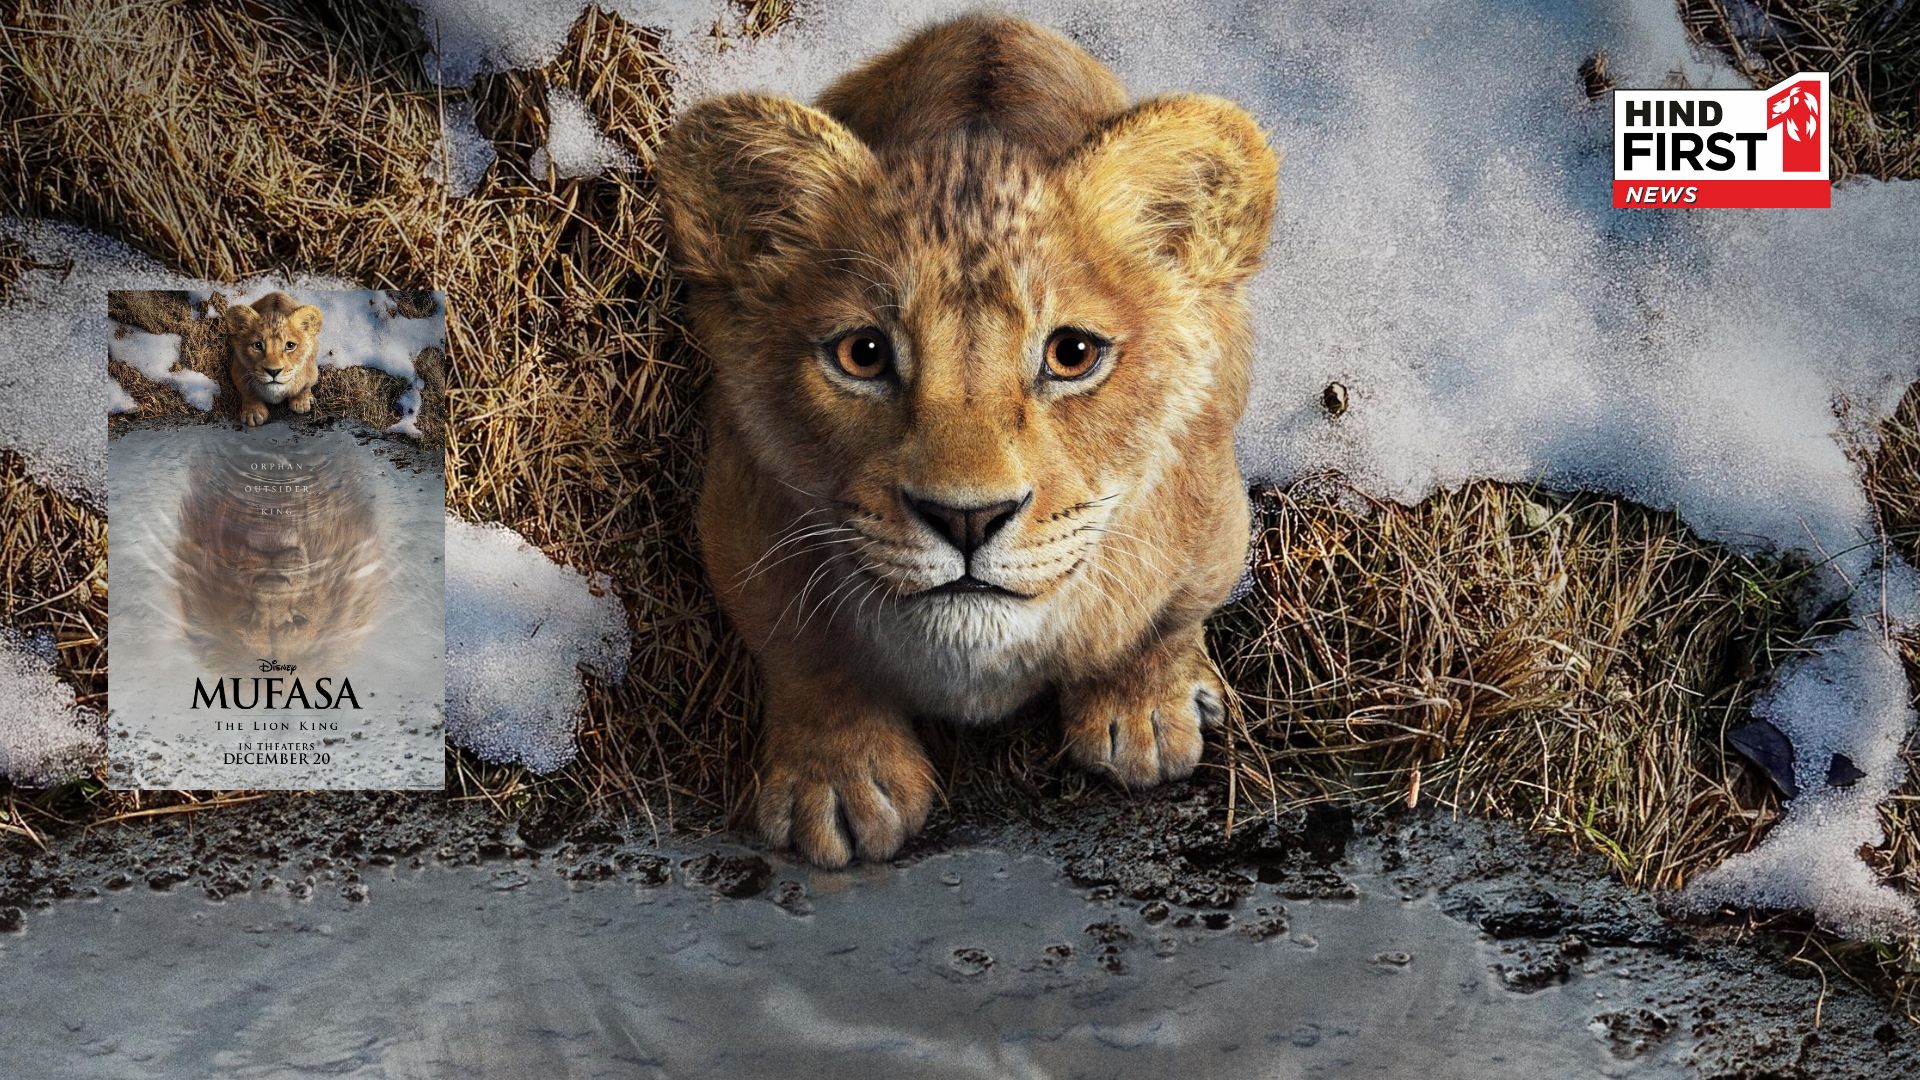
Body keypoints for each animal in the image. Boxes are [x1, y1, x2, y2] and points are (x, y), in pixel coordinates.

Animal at [223, 291, 323, 427]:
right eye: (257, 345)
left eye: (290, 345)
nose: (273, 371)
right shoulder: (238, 371)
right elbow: (248, 393)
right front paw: (253, 413)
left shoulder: (312, 371)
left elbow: (304, 387)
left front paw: (302, 402)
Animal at [658, 14, 1280, 866]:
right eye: (863, 354)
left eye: (1072, 354)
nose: (966, 519)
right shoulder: (739, 518)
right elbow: (804, 654)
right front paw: (839, 782)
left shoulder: (1213, 515)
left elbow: (1165, 619)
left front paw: (1144, 714)